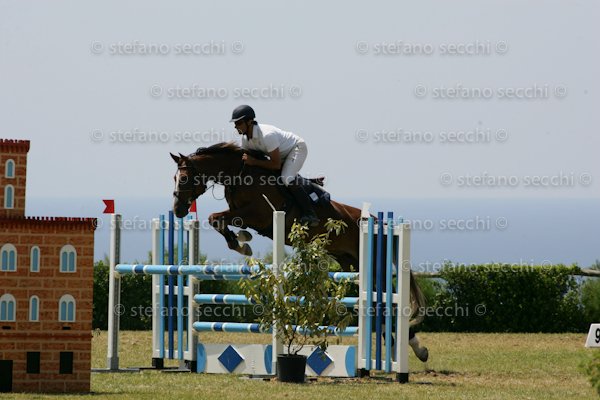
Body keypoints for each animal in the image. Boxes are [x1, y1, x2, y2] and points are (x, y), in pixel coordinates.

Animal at [170, 142, 429, 361]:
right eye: (174, 178)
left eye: (183, 178)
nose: (178, 210)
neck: (241, 175)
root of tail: (377, 221)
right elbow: (216, 219)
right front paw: (241, 241)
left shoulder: (259, 215)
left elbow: (219, 218)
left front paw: (242, 242)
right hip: (350, 263)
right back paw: (399, 348)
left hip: (369, 262)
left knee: (384, 300)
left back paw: (417, 349)